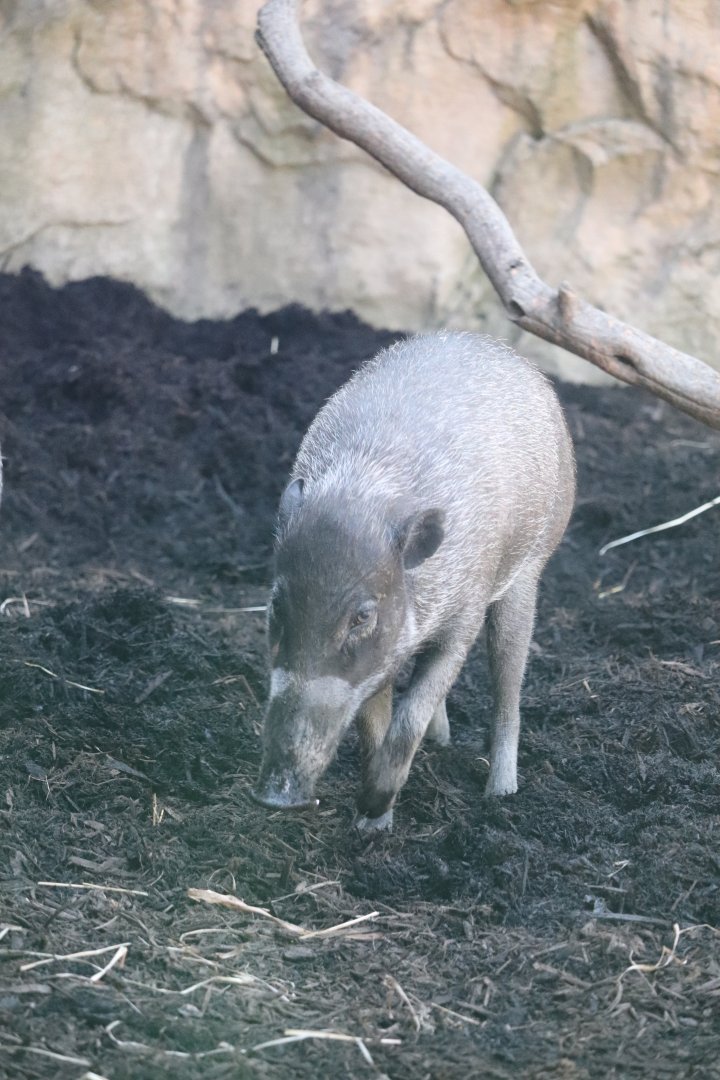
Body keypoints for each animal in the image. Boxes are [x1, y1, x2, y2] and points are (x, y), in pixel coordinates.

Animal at [252, 332, 575, 830]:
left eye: (362, 616)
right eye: (275, 605)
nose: (275, 797)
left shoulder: (462, 620)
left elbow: (410, 717)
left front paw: (373, 809)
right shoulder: (378, 662)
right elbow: (375, 724)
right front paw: (371, 826)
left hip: (528, 572)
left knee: (509, 683)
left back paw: (501, 793)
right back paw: (442, 742)